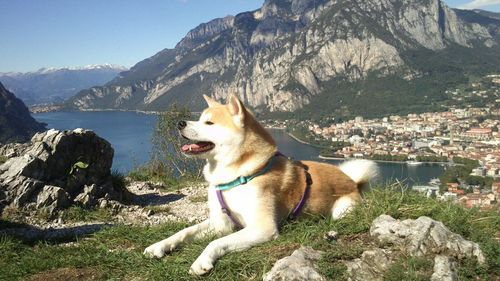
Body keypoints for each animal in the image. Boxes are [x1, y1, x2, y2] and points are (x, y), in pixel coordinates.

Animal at [143, 93, 376, 274]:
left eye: (209, 123)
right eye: (200, 119)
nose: (180, 123)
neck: (235, 177)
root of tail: (353, 182)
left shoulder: (262, 228)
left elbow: (216, 242)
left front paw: (202, 260)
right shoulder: (221, 223)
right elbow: (184, 232)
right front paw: (159, 246)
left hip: (342, 210)